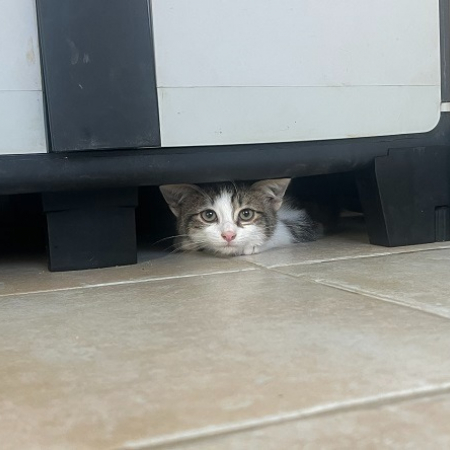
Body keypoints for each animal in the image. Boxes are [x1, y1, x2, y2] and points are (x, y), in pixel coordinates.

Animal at [159, 178, 318, 256]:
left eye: (246, 214)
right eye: (209, 215)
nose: (228, 235)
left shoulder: (296, 220)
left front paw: (252, 245)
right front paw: (186, 242)